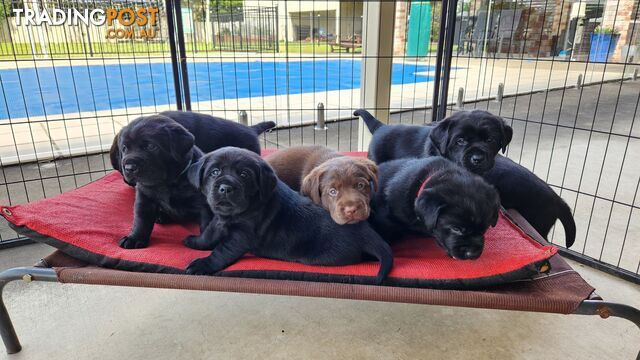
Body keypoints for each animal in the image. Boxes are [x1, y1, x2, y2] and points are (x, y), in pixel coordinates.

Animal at [112, 114, 276, 249]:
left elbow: (206, 223)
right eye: (125, 148)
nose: (129, 168)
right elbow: (141, 220)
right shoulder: (144, 197)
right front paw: (134, 238)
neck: (167, 183)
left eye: (151, 146)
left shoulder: (204, 204)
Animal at [185, 146, 392, 284]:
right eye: (214, 172)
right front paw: (194, 241)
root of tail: (366, 232)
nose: (226, 188)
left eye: (244, 174)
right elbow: (208, 235)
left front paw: (202, 265)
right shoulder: (218, 221)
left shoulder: (241, 236)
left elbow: (221, 252)